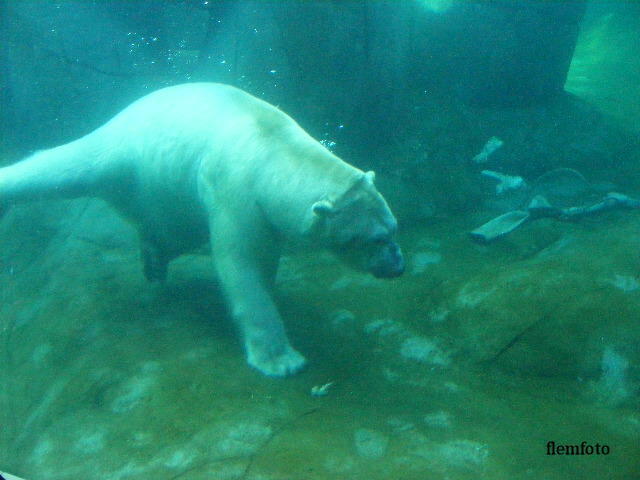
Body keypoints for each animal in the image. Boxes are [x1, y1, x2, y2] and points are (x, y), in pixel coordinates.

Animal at [0, 82, 402, 376]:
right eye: (377, 238)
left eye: (394, 228)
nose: (397, 265)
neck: (275, 152)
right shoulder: (236, 195)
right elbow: (240, 267)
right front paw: (283, 360)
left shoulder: (262, 213)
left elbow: (263, 260)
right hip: (124, 152)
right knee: (65, 169)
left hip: (165, 194)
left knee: (170, 231)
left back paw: (154, 260)